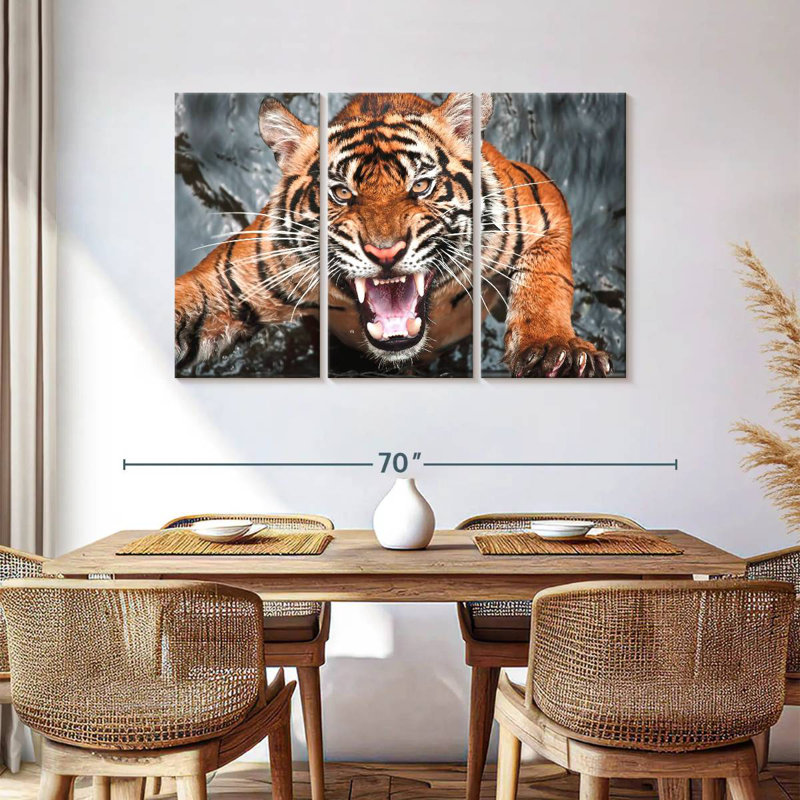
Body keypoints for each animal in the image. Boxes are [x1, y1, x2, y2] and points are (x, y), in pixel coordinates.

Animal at [175, 92, 611, 377]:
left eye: (421, 186)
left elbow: (546, 277)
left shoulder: (543, 205)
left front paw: (554, 349)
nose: (385, 253)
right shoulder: (228, 283)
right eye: (341, 193)